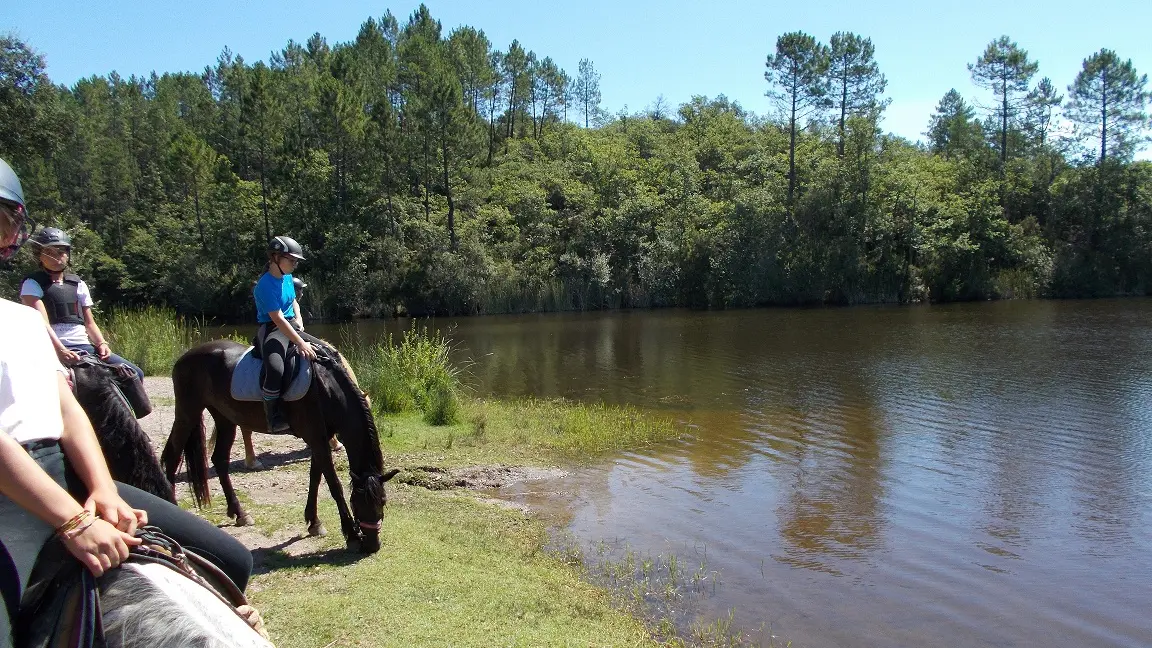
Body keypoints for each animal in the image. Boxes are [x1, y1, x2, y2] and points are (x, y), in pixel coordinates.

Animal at [160, 338, 398, 548]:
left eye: (383, 501)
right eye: (358, 503)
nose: (373, 545)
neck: (325, 387)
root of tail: (185, 357)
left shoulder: (318, 440)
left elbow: (315, 478)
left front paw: (314, 522)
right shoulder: (317, 440)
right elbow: (334, 485)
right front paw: (351, 534)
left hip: (225, 419)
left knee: (219, 460)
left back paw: (240, 513)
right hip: (188, 413)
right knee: (172, 457)